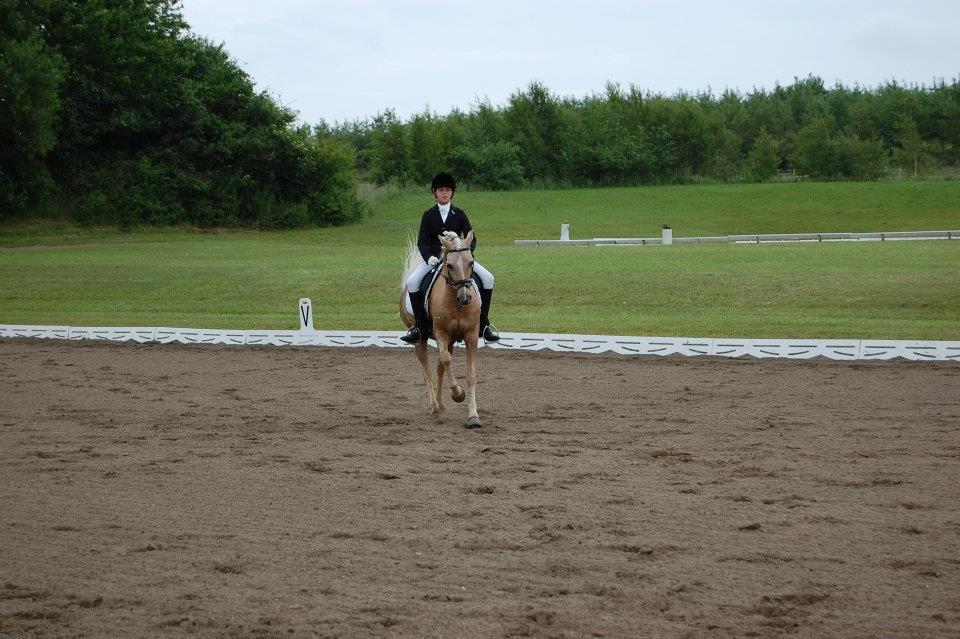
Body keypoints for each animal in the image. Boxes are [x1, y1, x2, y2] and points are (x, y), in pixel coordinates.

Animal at [399, 231, 482, 428]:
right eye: (450, 265)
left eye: (471, 262)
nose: (465, 298)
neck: (455, 302)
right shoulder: (441, 334)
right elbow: (445, 360)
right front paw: (458, 394)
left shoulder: (471, 335)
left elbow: (470, 374)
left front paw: (473, 416)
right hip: (420, 339)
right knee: (427, 370)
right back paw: (434, 406)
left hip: (451, 340)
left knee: (439, 368)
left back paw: (441, 404)